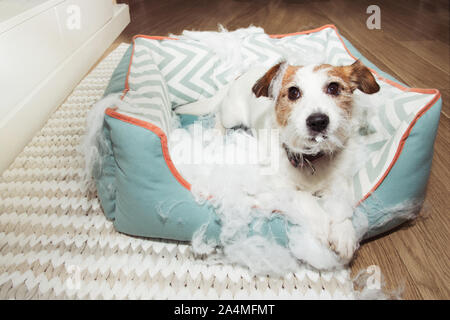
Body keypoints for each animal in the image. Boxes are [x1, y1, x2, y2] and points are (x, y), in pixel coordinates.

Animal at [176, 60, 380, 262]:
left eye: (333, 88)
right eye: (293, 92)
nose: (318, 121)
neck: (311, 158)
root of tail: (241, 75)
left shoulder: (339, 182)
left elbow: (341, 204)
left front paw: (344, 232)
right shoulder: (279, 186)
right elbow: (305, 198)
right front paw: (322, 225)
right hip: (231, 115)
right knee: (219, 116)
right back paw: (218, 133)